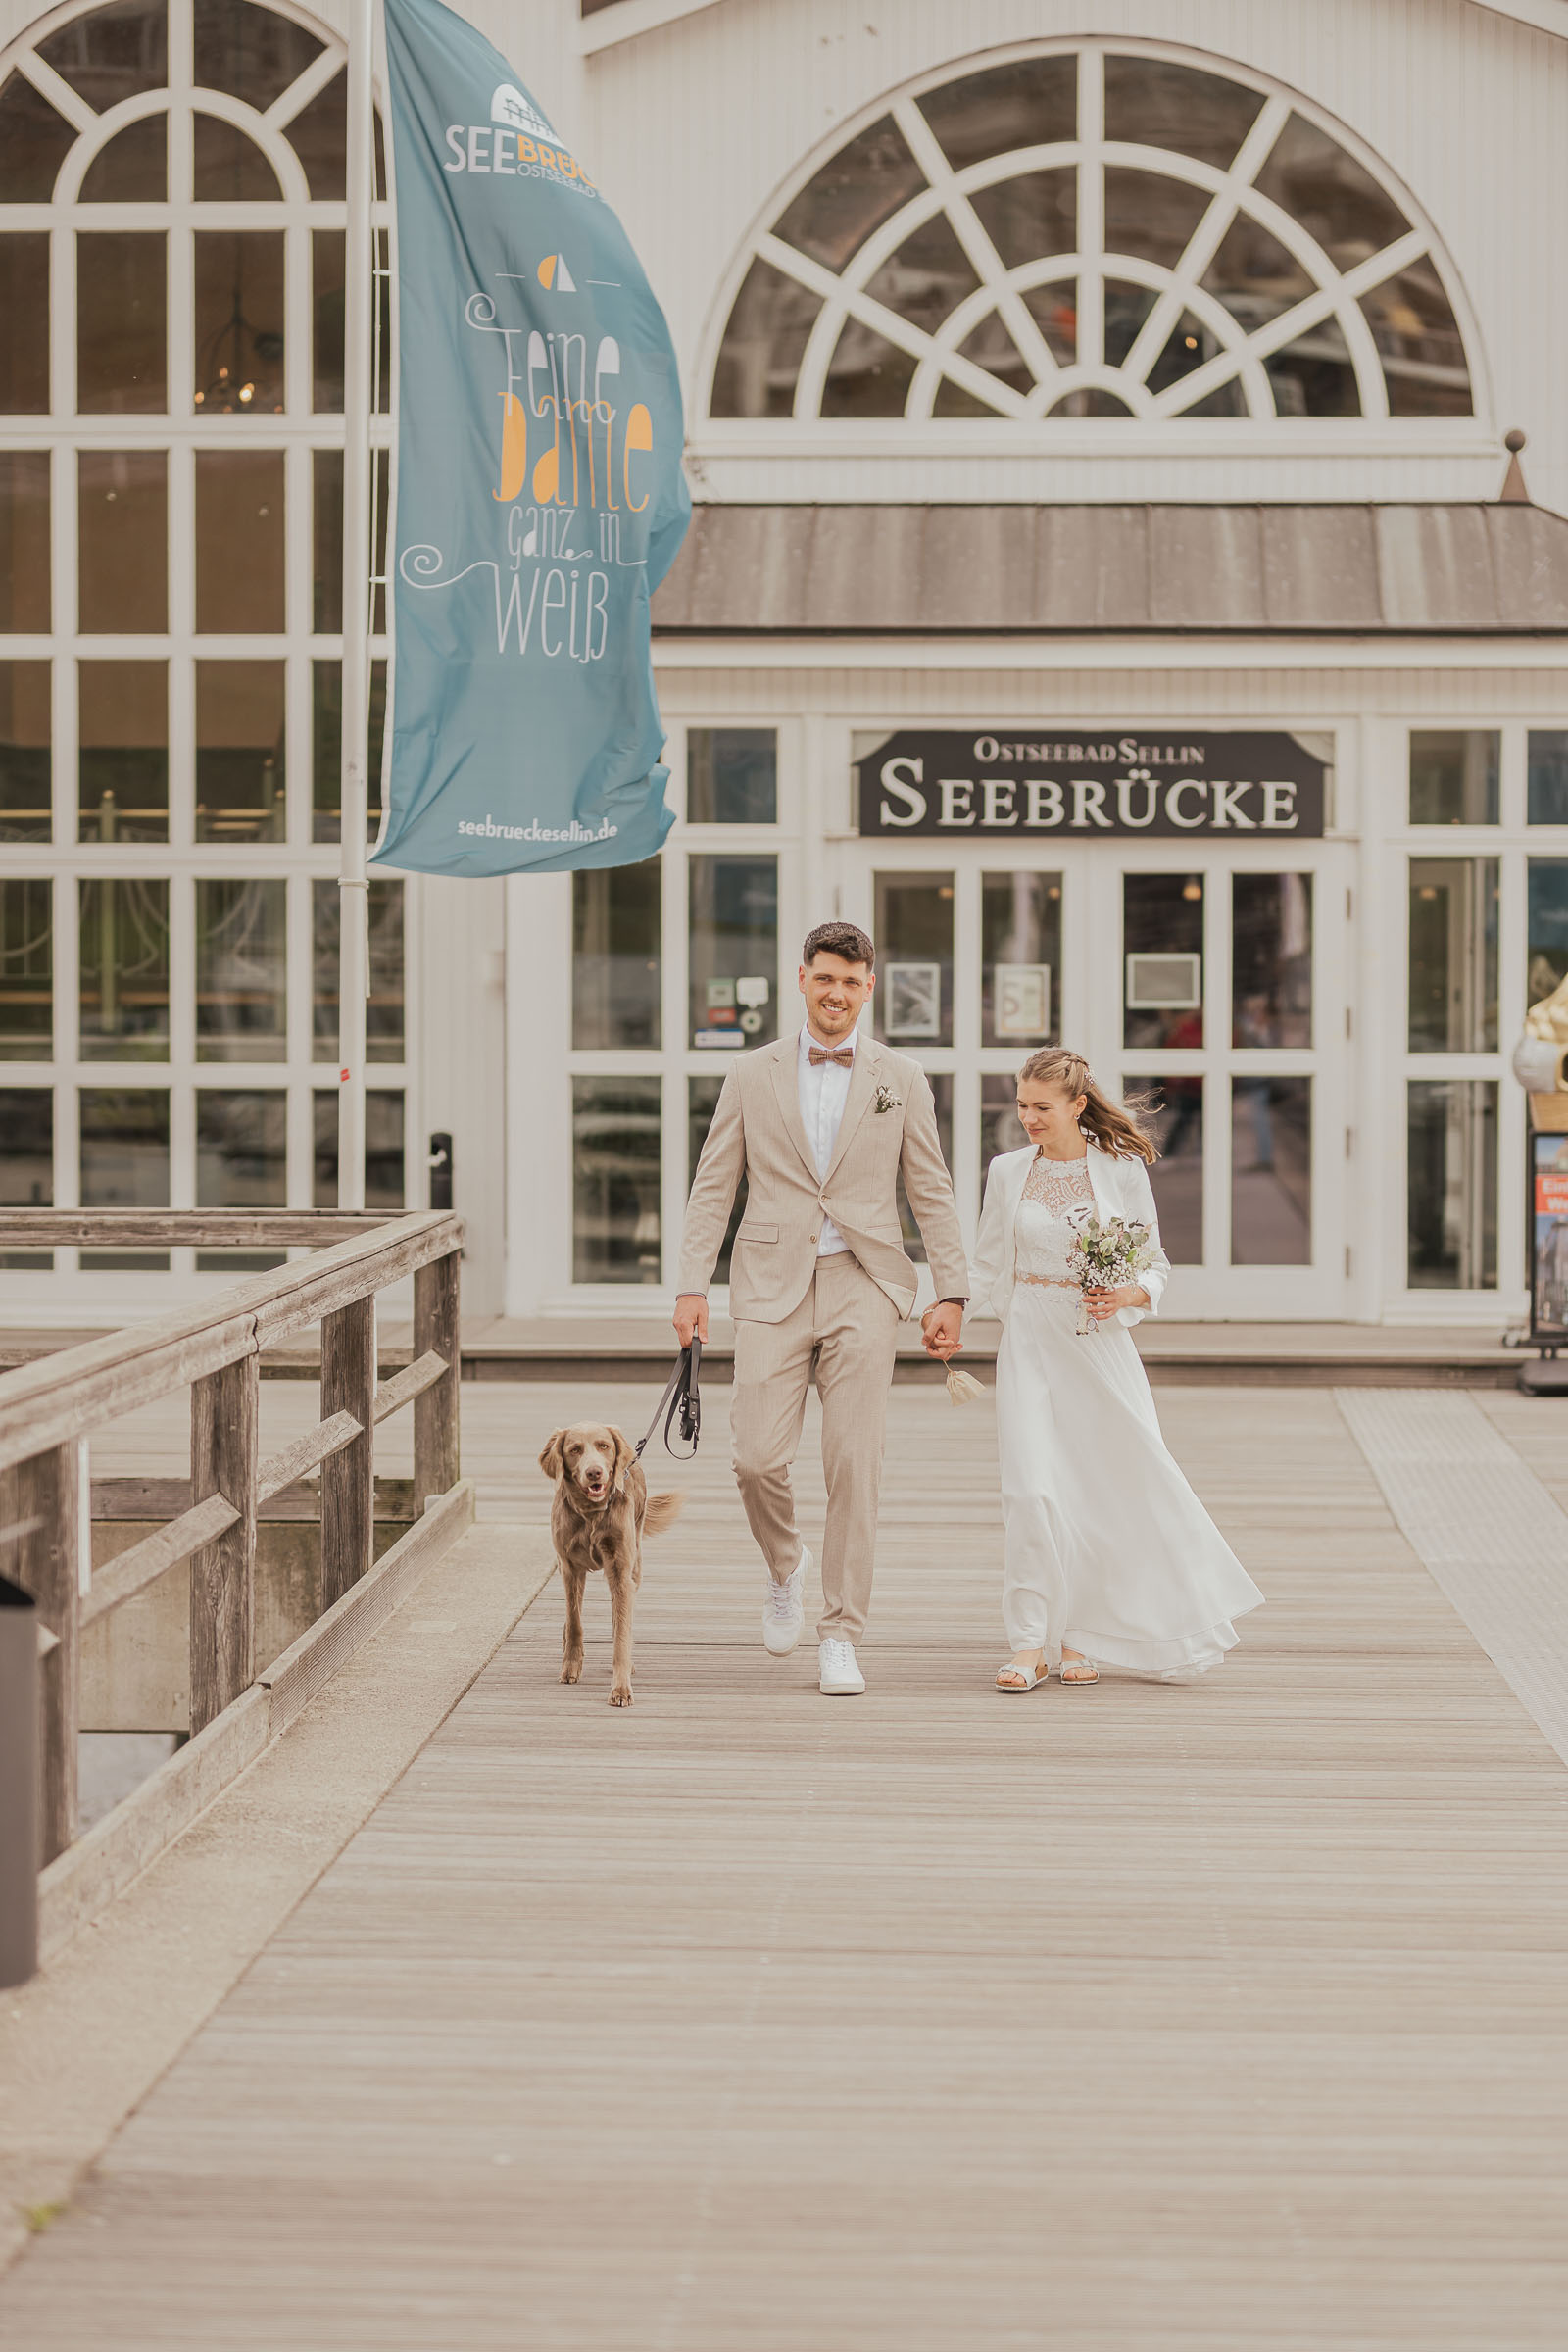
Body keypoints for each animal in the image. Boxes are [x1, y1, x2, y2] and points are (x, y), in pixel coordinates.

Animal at [540, 1420, 681, 1702]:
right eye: (575, 1450)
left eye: (603, 1446)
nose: (594, 1472)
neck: (591, 1514)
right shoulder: (569, 1567)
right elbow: (575, 1621)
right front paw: (570, 1665)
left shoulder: (620, 1568)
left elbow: (622, 1630)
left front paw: (621, 1687)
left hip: (635, 1564)